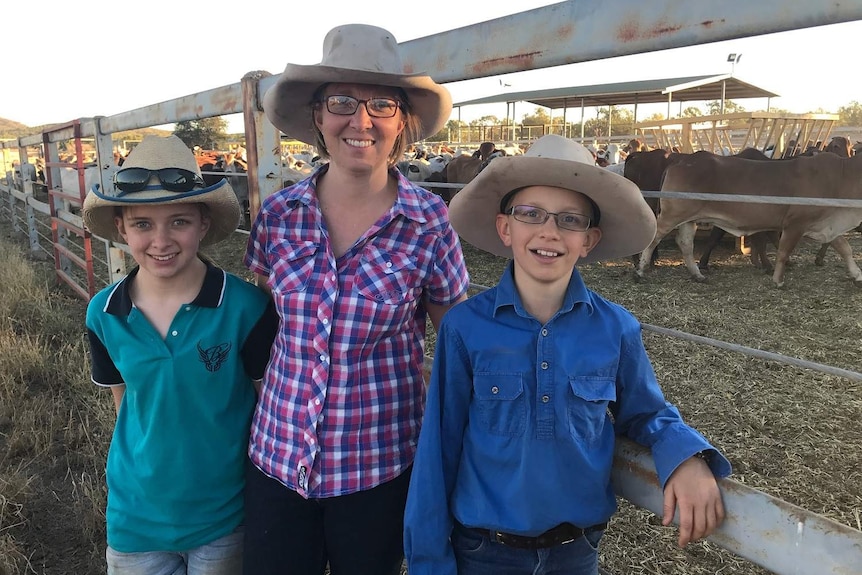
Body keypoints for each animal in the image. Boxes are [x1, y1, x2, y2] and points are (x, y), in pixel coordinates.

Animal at [636, 152, 862, 288]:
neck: (842, 177)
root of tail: (680, 161)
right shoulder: (795, 224)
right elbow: (783, 252)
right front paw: (778, 280)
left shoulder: (827, 226)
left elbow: (845, 248)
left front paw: (857, 274)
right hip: (672, 214)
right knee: (654, 237)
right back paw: (640, 270)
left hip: (689, 219)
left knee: (685, 243)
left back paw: (697, 274)